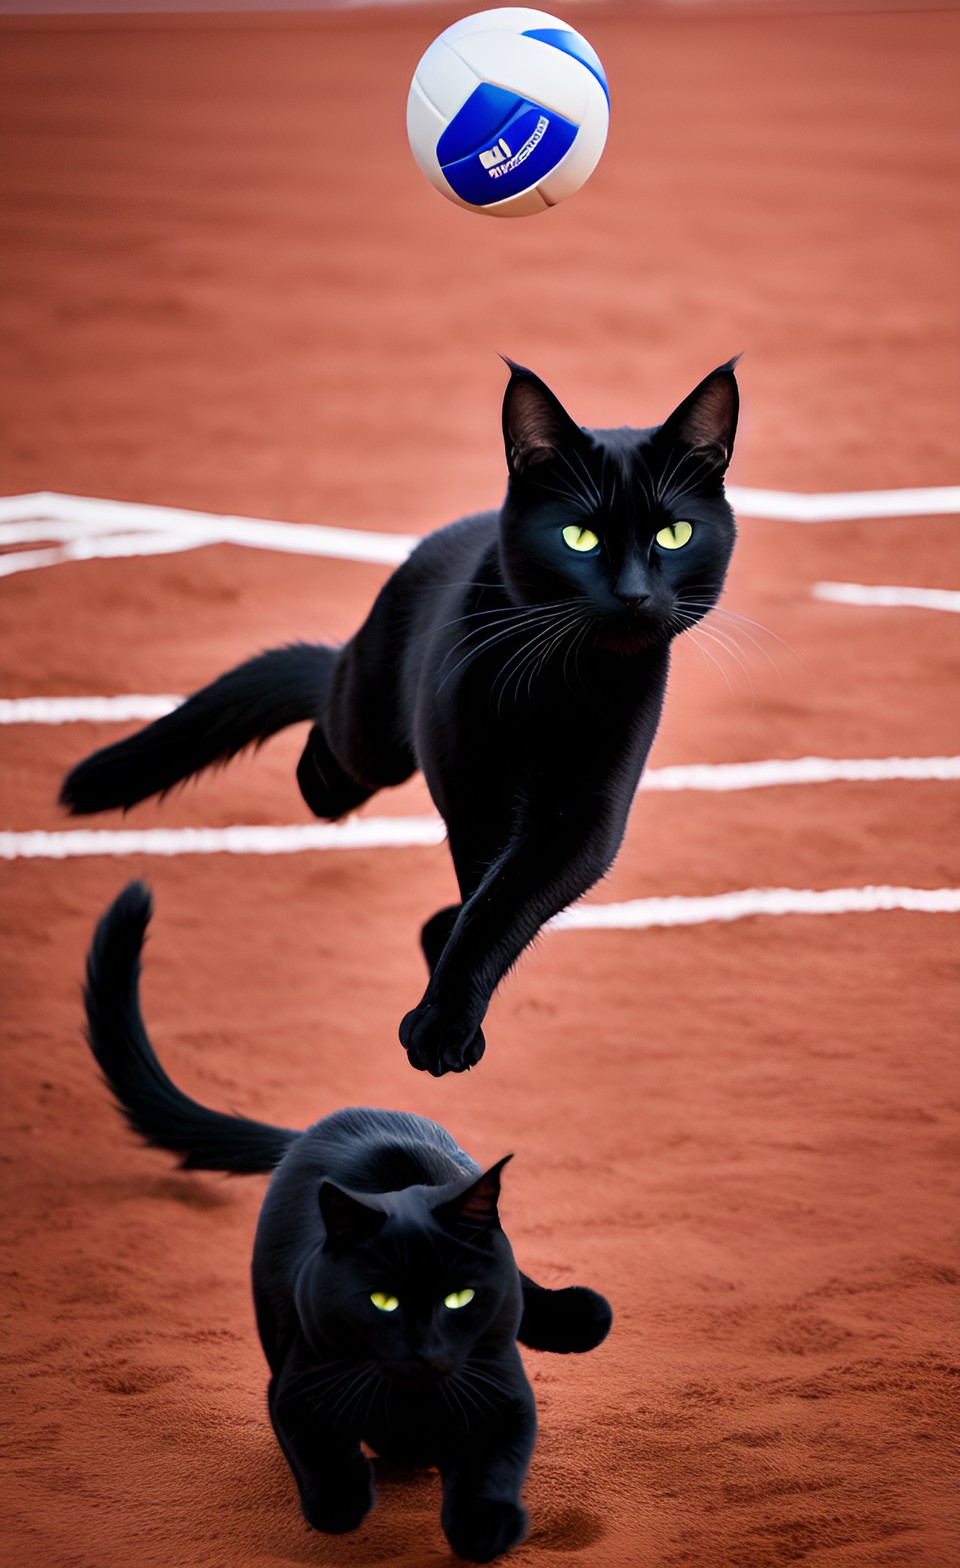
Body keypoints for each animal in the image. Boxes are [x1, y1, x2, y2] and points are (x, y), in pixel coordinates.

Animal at [63, 357, 737, 1078]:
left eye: (674, 534)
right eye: (579, 538)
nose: (634, 595)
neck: (564, 681)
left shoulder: (583, 810)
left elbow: (501, 900)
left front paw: (445, 1017)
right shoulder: (475, 789)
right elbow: (486, 893)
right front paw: (446, 1014)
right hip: (372, 733)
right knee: (331, 728)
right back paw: (325, 783)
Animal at [86, 884, 614, 1555]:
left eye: (460, 1297)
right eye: (381, 1300)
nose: (425, 1348)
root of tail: (335, 1120)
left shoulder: (505, 1397)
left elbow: (494, 1465)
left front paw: (483, 1523)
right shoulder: (296, 1393)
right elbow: (328, 1465)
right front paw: (355, 1492)